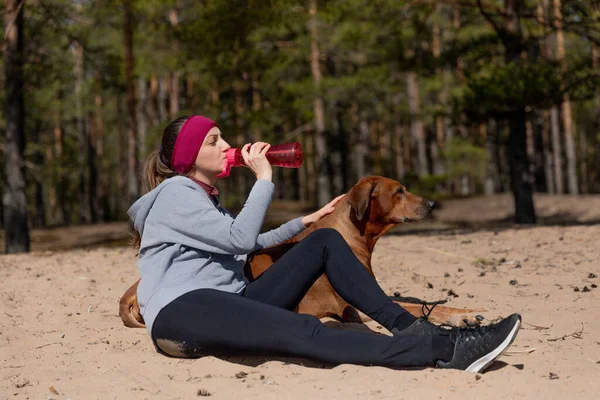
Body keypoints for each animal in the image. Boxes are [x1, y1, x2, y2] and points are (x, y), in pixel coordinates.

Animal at [118, 177, 482, 330]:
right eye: (400, 191)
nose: (433, 203)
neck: (352, 233)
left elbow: (417, 302)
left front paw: (461, 311)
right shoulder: (352, 306)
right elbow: (411, 307)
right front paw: (458, 316)